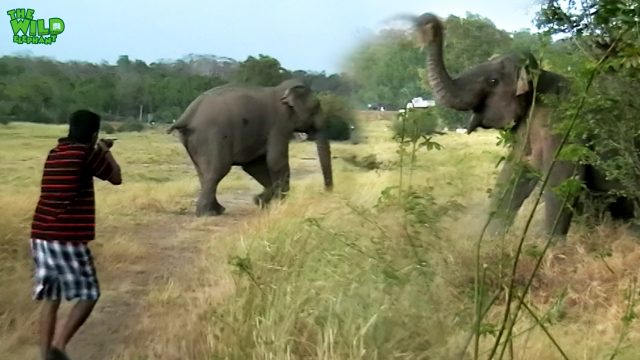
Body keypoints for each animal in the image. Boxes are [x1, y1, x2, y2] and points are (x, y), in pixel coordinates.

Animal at [410, 12, 636, 239]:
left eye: (493, 81)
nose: (429, 21)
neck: (538, 77)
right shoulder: (528, 126)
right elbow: (513, 173)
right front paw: (488, 242)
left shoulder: (564, 125)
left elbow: (563, 182)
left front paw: (550, 247)